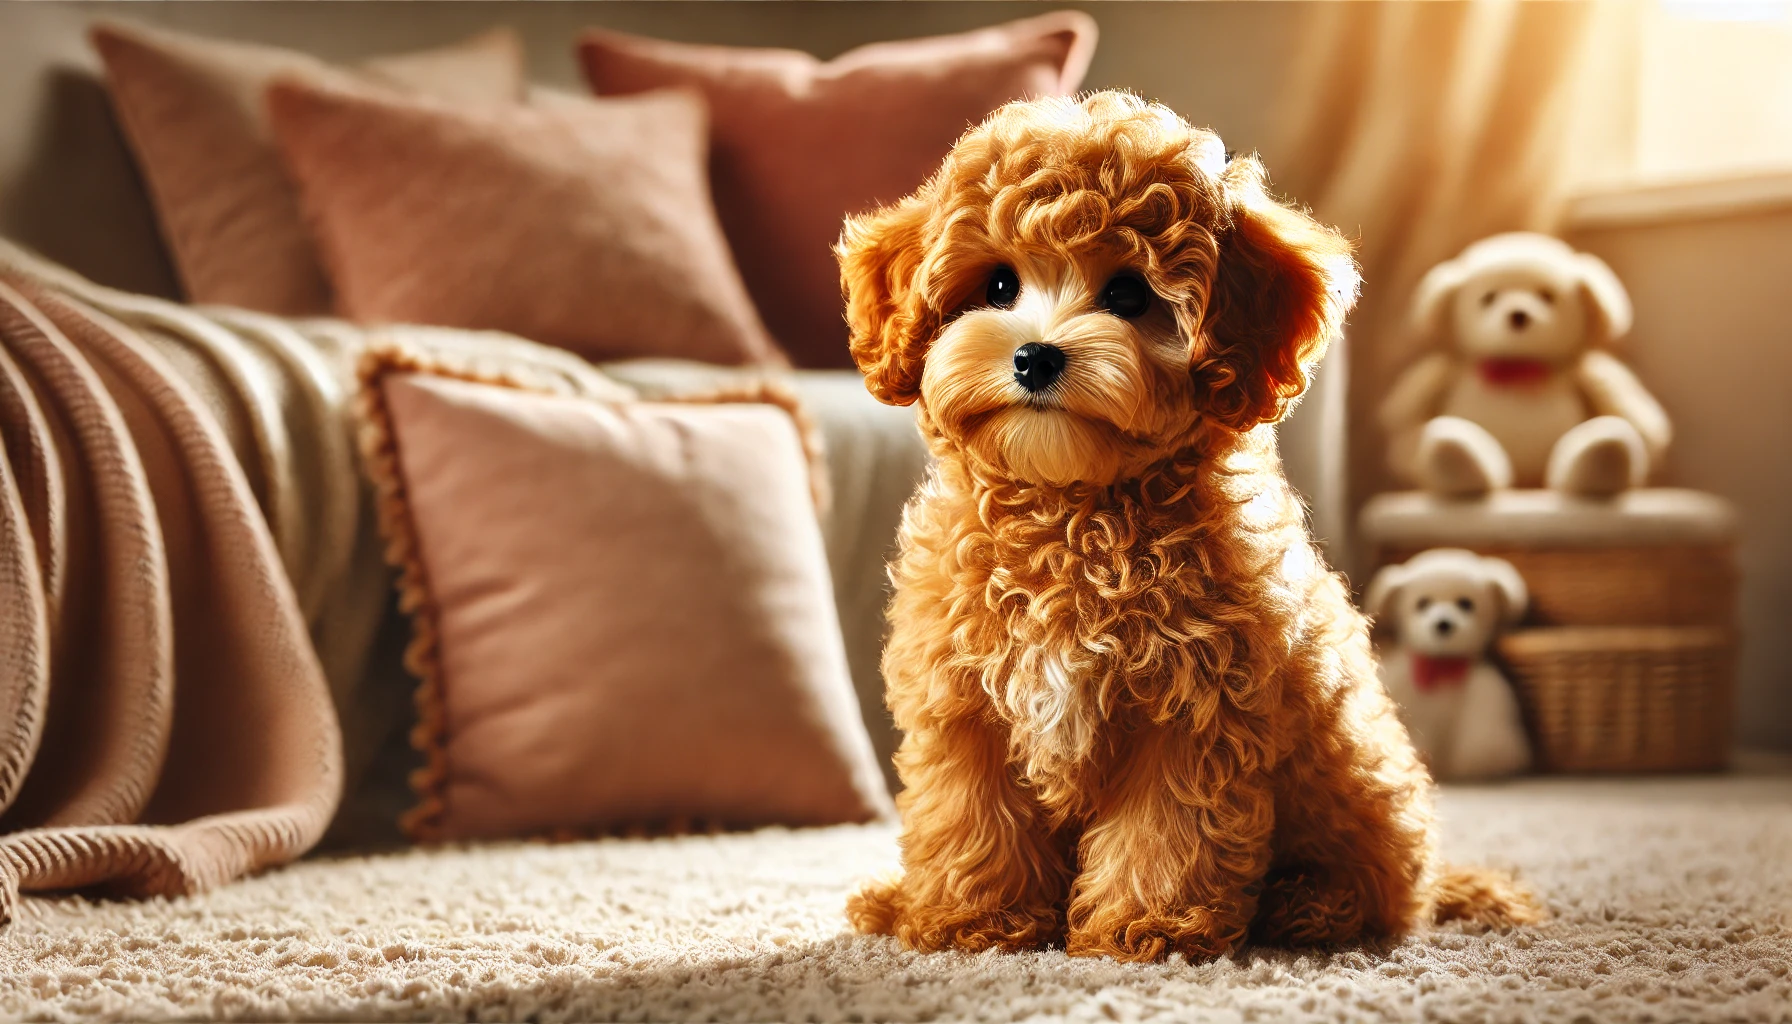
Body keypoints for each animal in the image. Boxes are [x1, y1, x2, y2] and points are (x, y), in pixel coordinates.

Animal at [842, 92, 1541, 968]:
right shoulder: (964, 703)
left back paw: (1311, 906)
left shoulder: (1193, 709)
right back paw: (893, 902)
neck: (1074, 513)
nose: (1036, 357)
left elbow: (1165, 833)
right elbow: (970, 818)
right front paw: (975, 922)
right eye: (998, 283)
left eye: (1129, 295)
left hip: (1370, 801)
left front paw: (1147, 929)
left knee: (1386, 896)